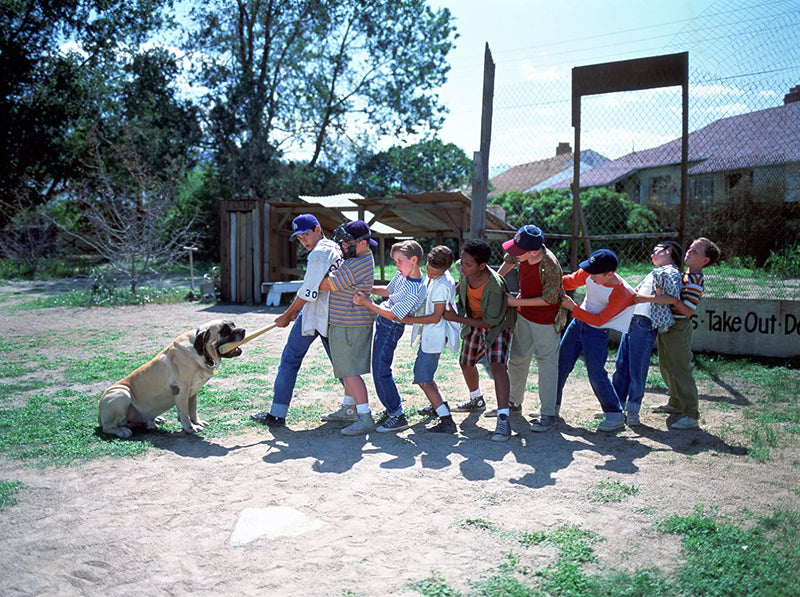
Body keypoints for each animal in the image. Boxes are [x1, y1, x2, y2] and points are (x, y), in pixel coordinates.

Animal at [99, 316, 245, 438]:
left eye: (233, 324)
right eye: (225, 330)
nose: (243, 330)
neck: (201, 352)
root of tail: (99, 416)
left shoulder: (192, 392)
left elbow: (192, 410)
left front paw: (197, 422)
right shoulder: (181, 390)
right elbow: (185, 412)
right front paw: (190, 427)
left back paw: (155, 420)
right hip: (122, 393)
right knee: (107, 427)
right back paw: (122, 430)